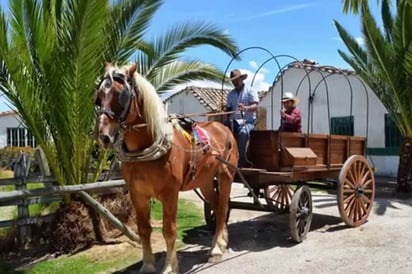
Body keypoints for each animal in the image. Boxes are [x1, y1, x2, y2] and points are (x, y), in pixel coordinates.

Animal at [94, 63, 238, 272]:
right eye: (98, 97)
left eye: (121, 95)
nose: (103, 136)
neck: (146, 149)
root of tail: (223, 126)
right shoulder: (137, 194)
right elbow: (144, 229)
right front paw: (147, 265)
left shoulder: (170, 193)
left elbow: (169, 230)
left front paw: (170, 267)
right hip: (205, 181)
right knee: (216, 206)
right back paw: (218, 243)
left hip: (226, 175)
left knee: (222, 207)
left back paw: (216, 249)